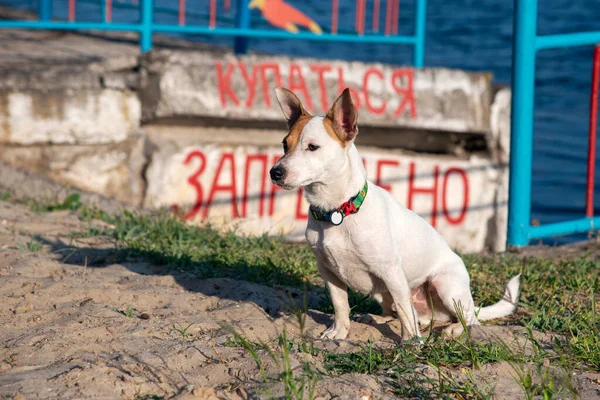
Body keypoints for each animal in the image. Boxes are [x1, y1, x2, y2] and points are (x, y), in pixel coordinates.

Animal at [270, 87, 516, 340]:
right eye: (285, 145)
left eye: (312, 147)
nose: (275, 172)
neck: (338, 212)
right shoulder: (329, 273)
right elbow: (341, 305)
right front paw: (338, 332)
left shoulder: (392, 272)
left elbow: (405, 311)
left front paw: (411, 342)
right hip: (385, 294)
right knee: (408, 314)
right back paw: (377, 318)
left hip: (445, 284)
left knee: (467, 320)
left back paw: (453, 329)